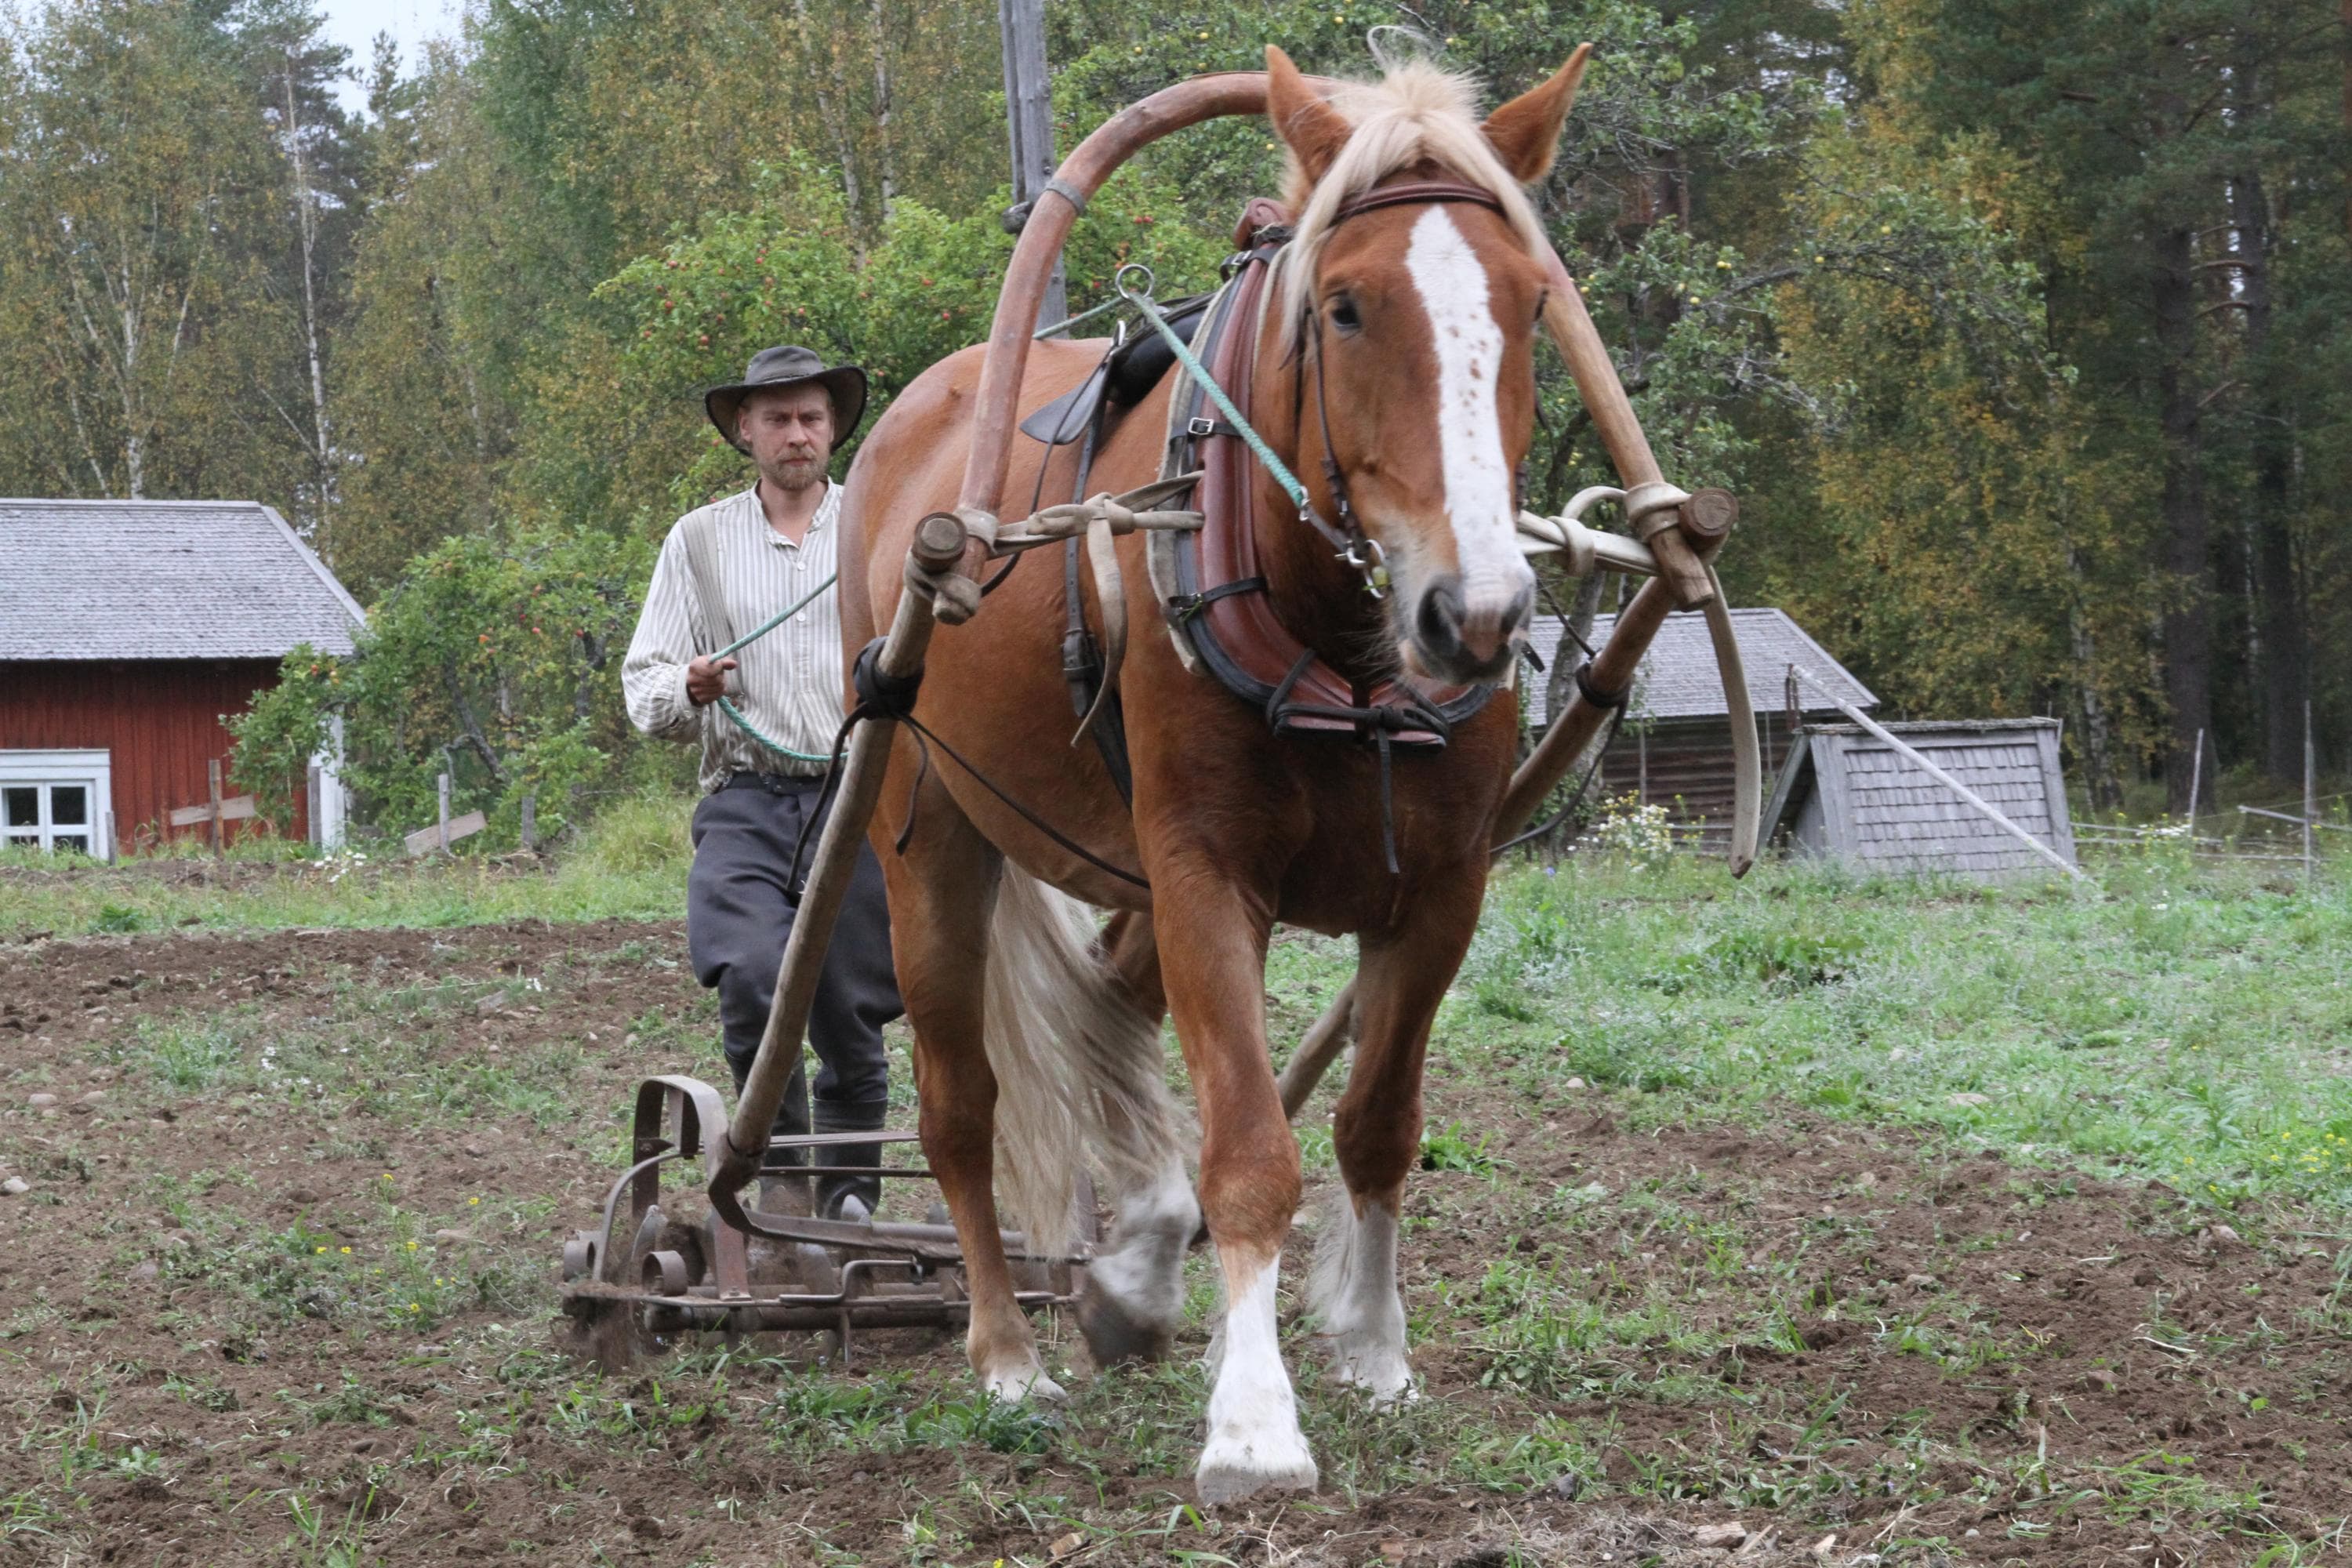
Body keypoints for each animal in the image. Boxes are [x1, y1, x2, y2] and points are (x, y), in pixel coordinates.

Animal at [835, 44, 1590, 1505]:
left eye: (1531, 304)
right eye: (1344, 308)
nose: (1472, 616)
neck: (1340, 645)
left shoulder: (1444, 890)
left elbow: (1375, 1124)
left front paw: (1376, 1347)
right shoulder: (1202, 872)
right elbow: (1248, 1145)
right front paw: (1253, 1423)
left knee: (1117, 1005)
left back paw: (1132, 1268)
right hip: (927, 831)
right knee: (960, 1106)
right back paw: (1007, 1353)